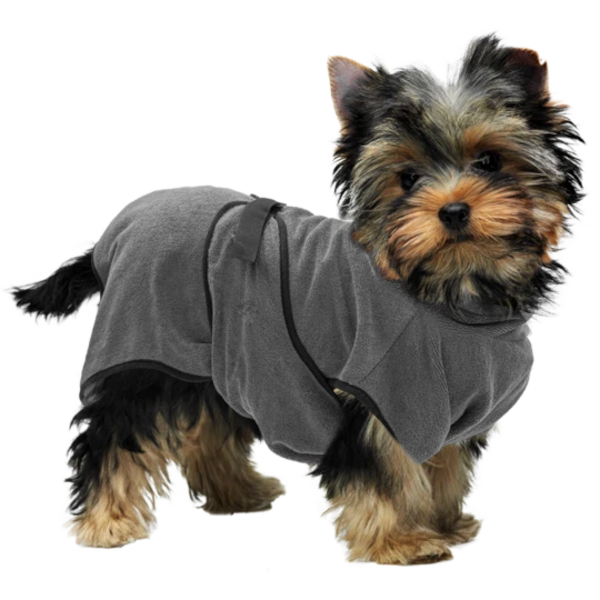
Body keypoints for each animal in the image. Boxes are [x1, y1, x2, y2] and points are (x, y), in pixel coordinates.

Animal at [2, 30, 587, 564]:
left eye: (490, 161)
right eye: (407, 178)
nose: (453, 210)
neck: (451, 293)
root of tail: (112, 234)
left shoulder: (453, 407)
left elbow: (444, 463)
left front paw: (444, 523)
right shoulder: (378, 394)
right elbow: (386, 469)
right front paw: (404, 540)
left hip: (221, 356)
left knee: (208, 422)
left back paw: (239, 491)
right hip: (146, 345)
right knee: (112, 432)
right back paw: (106, 523)